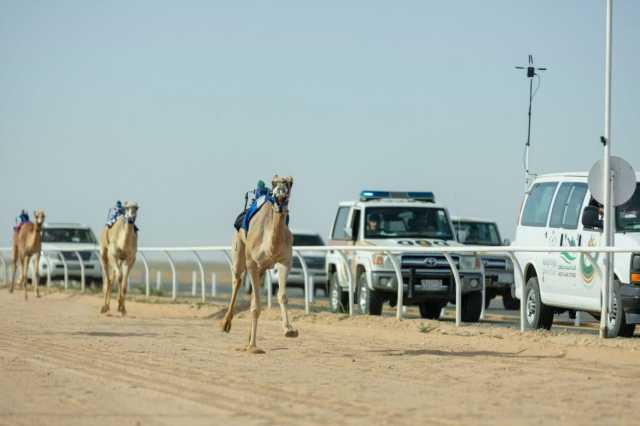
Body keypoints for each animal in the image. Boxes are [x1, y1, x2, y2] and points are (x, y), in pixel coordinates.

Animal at [220, 175, 298, 354]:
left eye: (290, 184)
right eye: (274, 183)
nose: (280, 196)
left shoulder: (285, 261)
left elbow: (282, 296)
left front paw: (289, 330)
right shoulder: (252, 264)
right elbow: (256, 306)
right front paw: (253, 347)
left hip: (262, 269)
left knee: (253, 297)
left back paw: (248, 339)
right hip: (239, 249)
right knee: (237, 280)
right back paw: (226, 324)